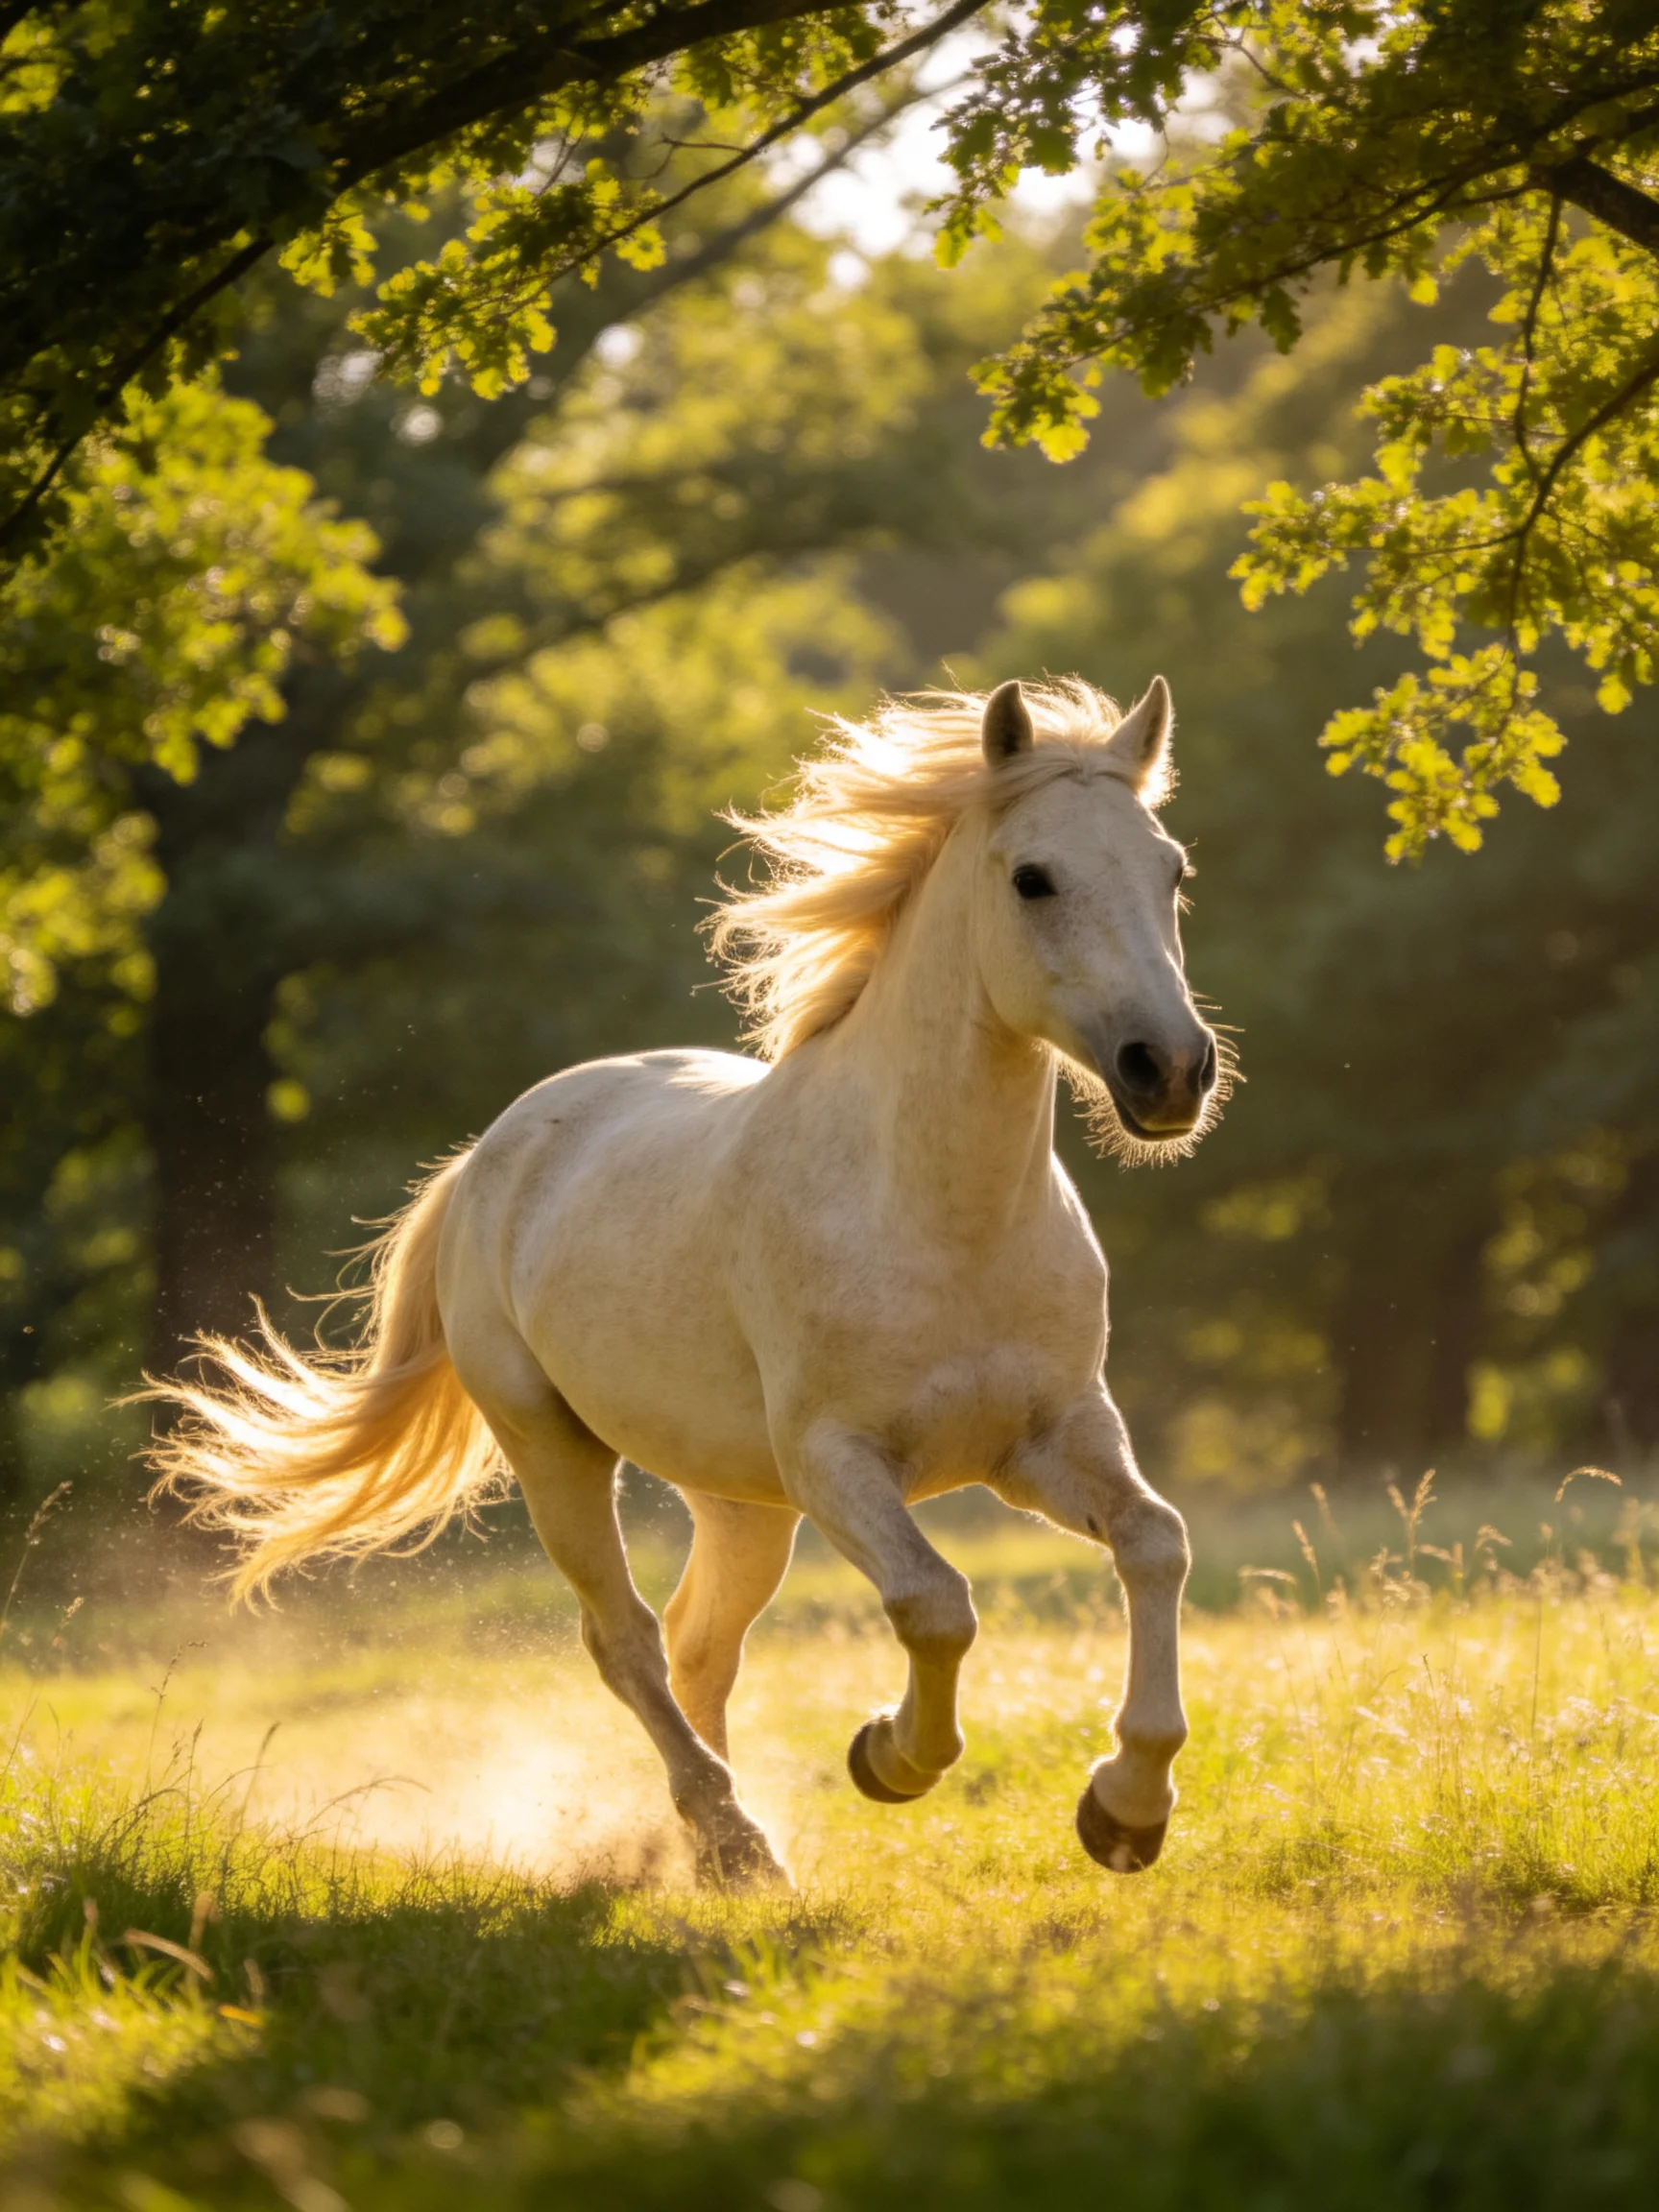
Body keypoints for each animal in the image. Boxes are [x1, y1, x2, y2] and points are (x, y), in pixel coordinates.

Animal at [148, 674, 1227, 1885]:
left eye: (1171, 870)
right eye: (1032, 876)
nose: (1170, 1071)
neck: (941, 1218)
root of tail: (490, 1154)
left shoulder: (1052, 1435)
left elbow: (1156, 1543)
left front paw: (1127, 1810)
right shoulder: (835, 1461)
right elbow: (936, 1604)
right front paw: (889, 1757)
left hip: (739, 1500)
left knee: (698, 1644)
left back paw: (698, 1849)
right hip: (558, 1451)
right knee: (626, 1640)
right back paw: (734, 1841)